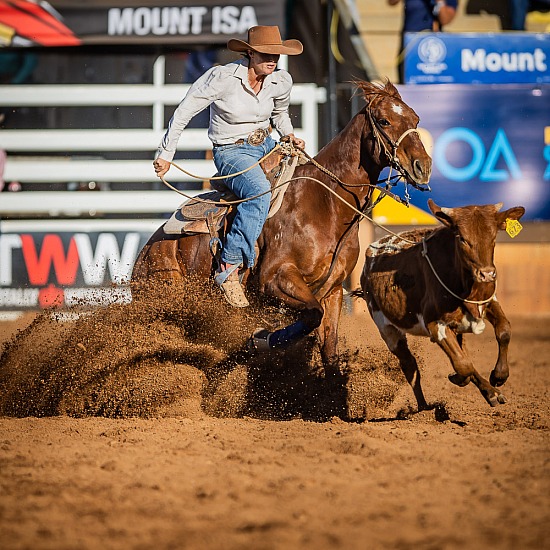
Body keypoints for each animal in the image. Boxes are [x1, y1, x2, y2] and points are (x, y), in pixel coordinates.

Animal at [132, 81, 434, 376]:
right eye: (384, 121)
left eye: (416, 119)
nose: (423, 166)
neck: (325, 204)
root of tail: (146, 251)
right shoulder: (275, 279)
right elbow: (311, 316)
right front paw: (260, 340)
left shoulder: (333, 291)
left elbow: (329, 350)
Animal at [362, 201, 528, 408]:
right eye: (462, 238)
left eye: (493, 236)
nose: (487, 274)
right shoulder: (435, 324)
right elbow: (463, 365)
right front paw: (459, 378)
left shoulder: (488, 301)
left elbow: (504, 331)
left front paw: (499, 376)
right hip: (387, 328)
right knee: (410, 366)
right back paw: (424, 407)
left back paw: (491, 392)